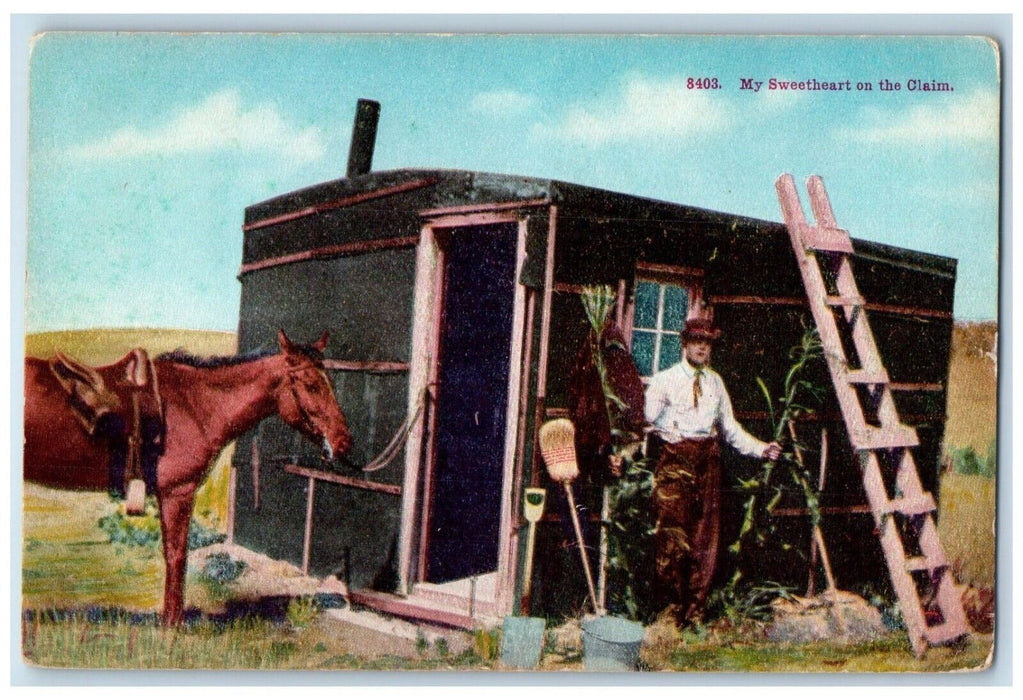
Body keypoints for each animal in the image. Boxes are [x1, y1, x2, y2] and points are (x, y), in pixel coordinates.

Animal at [23, 331, 351, 626]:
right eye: (311, 385)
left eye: (332, 383)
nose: (343, 442)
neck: (196, 405)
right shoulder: (178, 493)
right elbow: (176, 555)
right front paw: (172, 625)